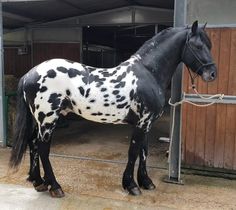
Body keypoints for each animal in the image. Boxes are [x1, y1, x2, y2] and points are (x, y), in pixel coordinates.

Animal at [10, 20, 217, 197]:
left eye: (209, 45)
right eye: (198, 46)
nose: (212, 73)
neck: (148, 73)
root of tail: (29, 74)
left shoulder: (147, 123)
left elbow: (144, 152)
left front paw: (146, 182)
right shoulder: (142, 122)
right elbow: (133, 152)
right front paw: (131, 185)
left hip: (38, 120)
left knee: (33, 143)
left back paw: (38, 182)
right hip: (48, 119)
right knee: (43, 148)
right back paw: (55, 186)